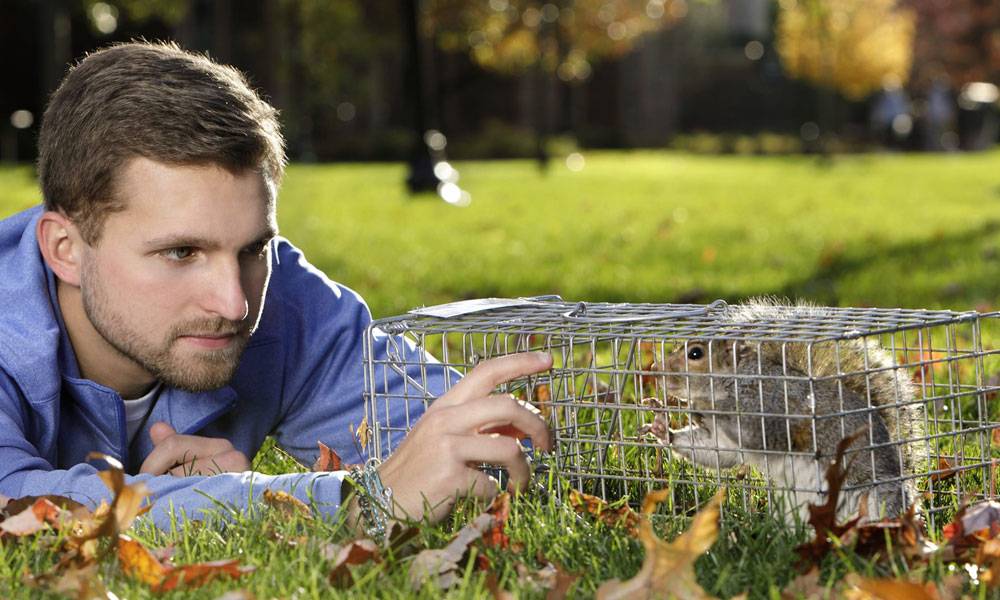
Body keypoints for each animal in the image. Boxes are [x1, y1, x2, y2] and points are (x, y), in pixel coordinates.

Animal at [648, 300, 920, 524]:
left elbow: (758, 433)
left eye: (695, 353)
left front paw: (706, 406)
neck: (735, 381)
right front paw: (662, 427)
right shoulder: (724, 441)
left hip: (878, 499)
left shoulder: (773, 404)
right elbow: (718, 453)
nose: (655, 370)